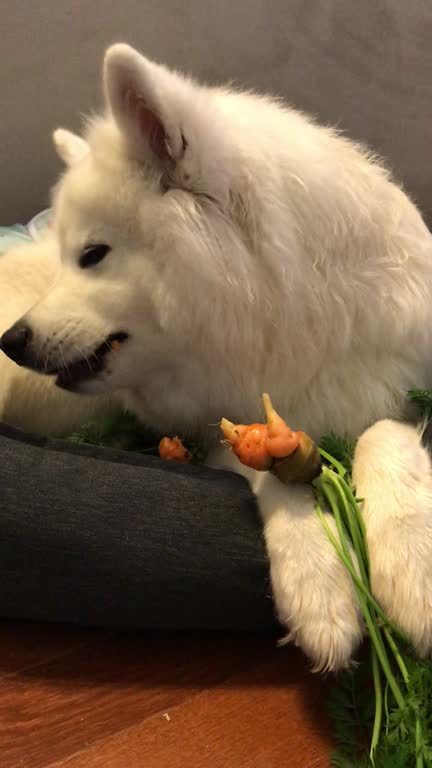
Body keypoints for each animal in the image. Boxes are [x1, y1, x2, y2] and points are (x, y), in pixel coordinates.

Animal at [0, 42, 432, 668]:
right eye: (66, 257)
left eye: (93, 254)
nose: (12, 340)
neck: (281, 319)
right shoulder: (221, 431)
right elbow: (267, 465)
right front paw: (317, 585)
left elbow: (383, 433)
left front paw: (414, 567)